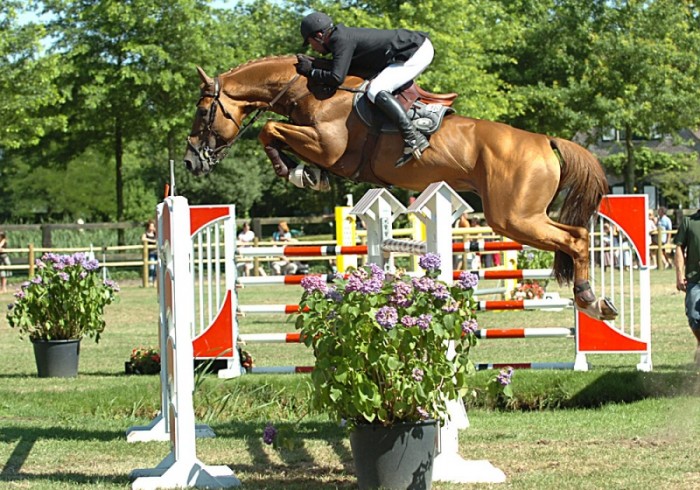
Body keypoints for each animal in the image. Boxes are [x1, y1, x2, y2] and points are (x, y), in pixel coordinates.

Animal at [183, 55, 616, 322]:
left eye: (203, 112)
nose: (189, 162)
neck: (313, 90)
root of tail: (544, 141)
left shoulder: (328, 145)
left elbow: (269, 130)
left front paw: (295, 173)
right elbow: (274, 132)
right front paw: (306, 174)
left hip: (514, 218)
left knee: (576, 238)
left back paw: (589, 299)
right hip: (519, 217)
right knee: (574, 235)